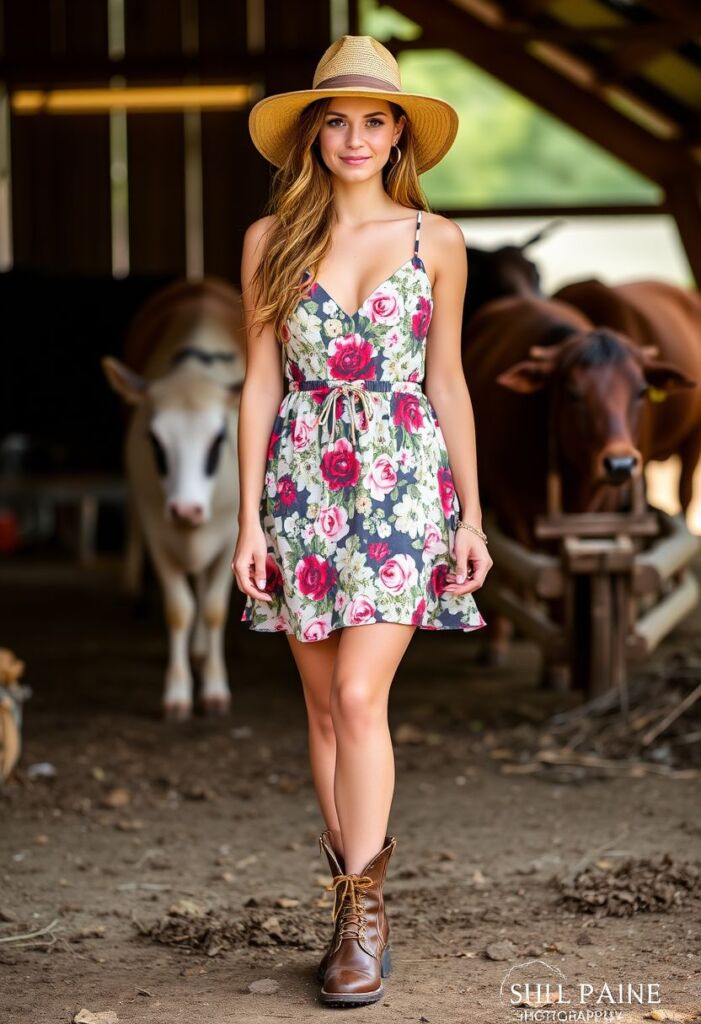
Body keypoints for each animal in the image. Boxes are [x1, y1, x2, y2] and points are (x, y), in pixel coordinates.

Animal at [102, 276, 245, 716]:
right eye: (154, 441)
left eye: (219, 439)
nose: (186, 507)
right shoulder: (157, 526)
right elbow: (179, 609)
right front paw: (178, 691)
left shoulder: (232, 533)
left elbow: (213, 610)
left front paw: (214, 687)